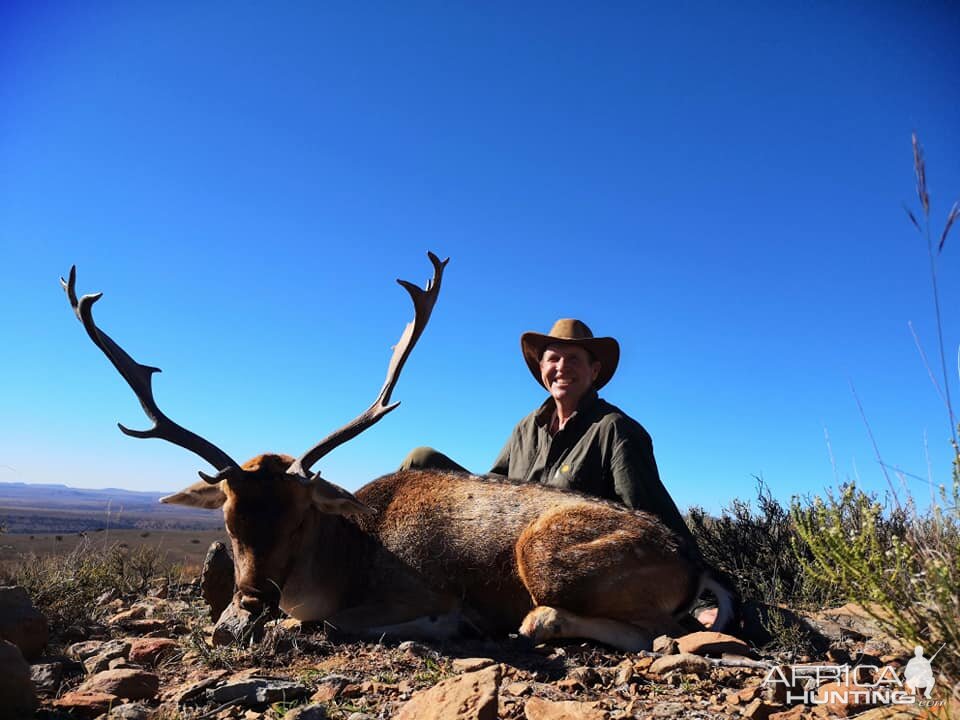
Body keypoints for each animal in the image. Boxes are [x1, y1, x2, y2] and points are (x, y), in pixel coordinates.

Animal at [63, 255, 736, 652]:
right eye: (226, 519)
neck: (347, 558)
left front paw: (450, 624)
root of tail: (696, 564)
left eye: (301, 518)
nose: (246, 607)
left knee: (655, 632)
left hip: (546, 557)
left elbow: (337, 621)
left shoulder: (419, 589)